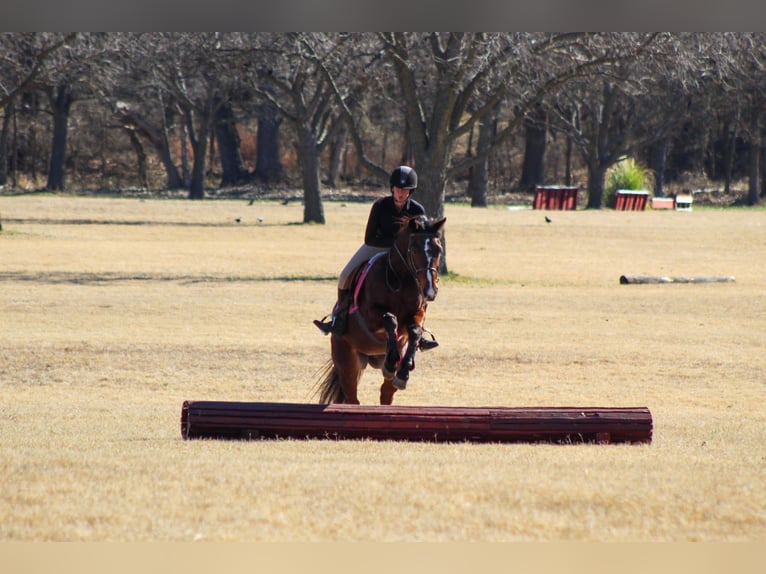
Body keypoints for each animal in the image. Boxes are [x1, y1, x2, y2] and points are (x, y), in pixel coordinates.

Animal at [316, 215, 446, 405]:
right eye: (414, 250)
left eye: (439, 250)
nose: (430, 291)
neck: (402, 281)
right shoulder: (369, 316)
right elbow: (390, 319)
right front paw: (391, 363)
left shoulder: (416, 315)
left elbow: (414, 331)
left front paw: (402, 372)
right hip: (346, 361)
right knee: (352, 396)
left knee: (386, 393)